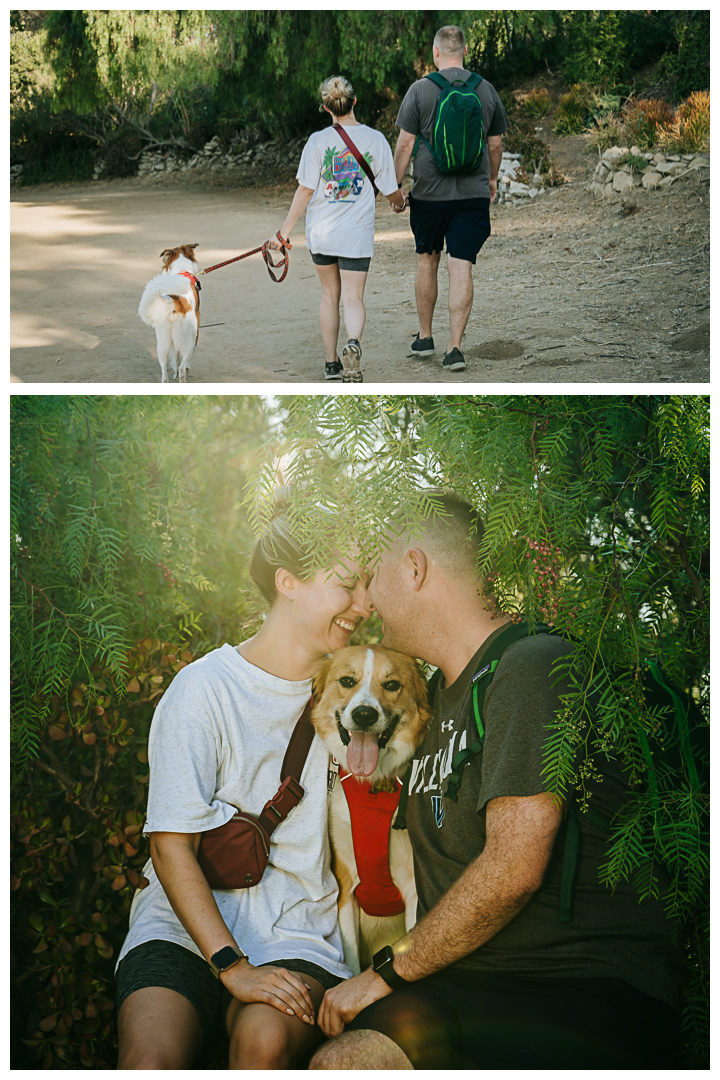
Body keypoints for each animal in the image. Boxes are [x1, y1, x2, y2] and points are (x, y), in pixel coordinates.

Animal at [139, 245, 201, 384]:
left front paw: (174, 373)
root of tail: (176, 302)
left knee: (164, 376)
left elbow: (175, 357)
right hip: (191, 339)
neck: (181, 269)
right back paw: (185, 375)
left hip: (162, 344)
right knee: (183, 367)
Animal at [313, 643, 431, 976]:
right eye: (347, 681)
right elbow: (351, 961)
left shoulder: (413, 890)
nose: (364, 715)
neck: (372, 787)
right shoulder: (346, 888)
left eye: (391, 685)